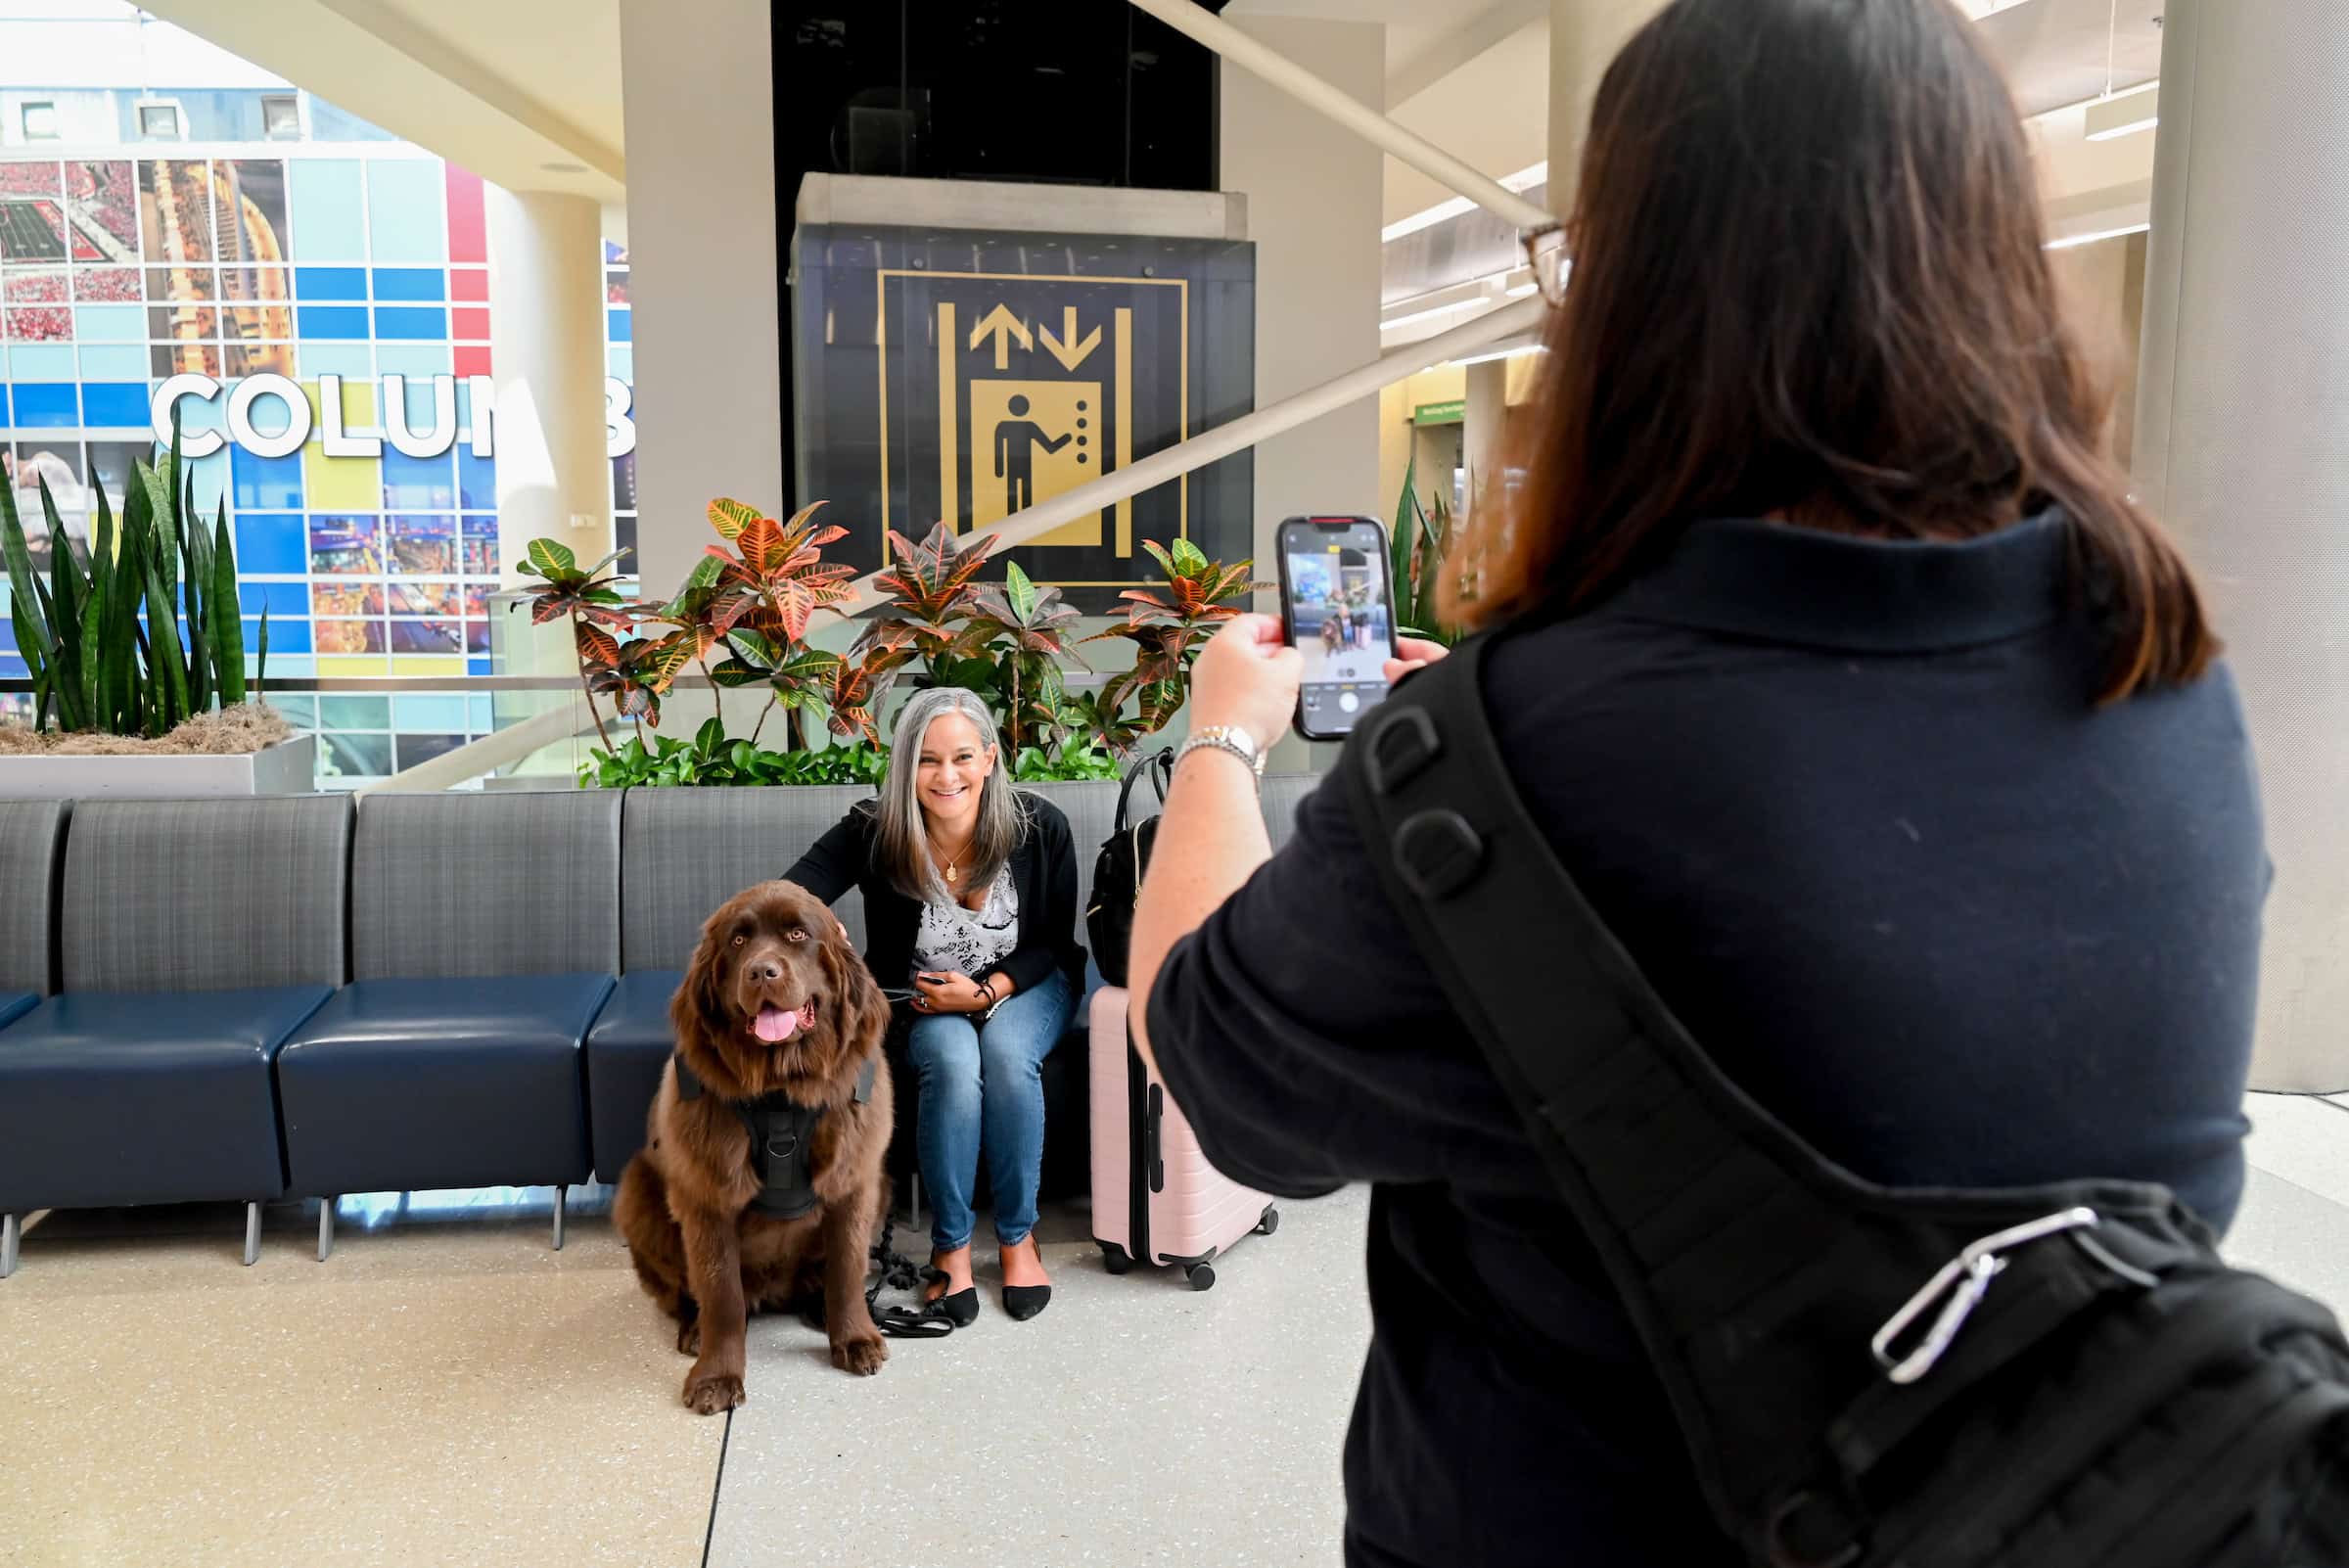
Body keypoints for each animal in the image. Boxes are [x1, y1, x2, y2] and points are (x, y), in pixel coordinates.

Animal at [611, 882, 893, 1407]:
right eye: (739, 941)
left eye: (798, 934)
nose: (762, 971)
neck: (781, 1089)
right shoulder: (708, 1198)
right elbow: (721, 1294)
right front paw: (716, 1377)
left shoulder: (855, 1181)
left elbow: (848, 1268)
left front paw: (854, 1338)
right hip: (637, 1191)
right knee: (689, 1291)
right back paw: (693, 1330)